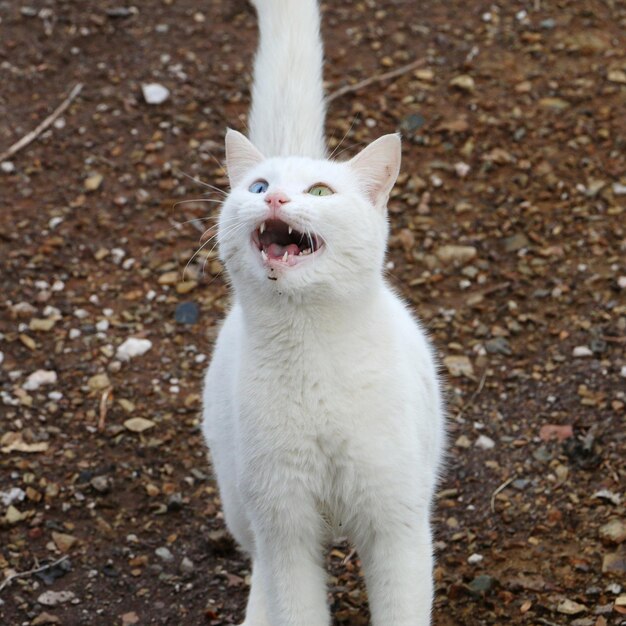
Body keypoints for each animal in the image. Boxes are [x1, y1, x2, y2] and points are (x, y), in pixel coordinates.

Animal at [201, 0, 444, 620]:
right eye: (257, 185)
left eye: (319, 192)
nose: (274, 197)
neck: (308, 349)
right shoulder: (286, 526)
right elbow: (296, 604)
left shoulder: (397, 526)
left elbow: (403, 610)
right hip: (240, 500)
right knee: (259, 566)